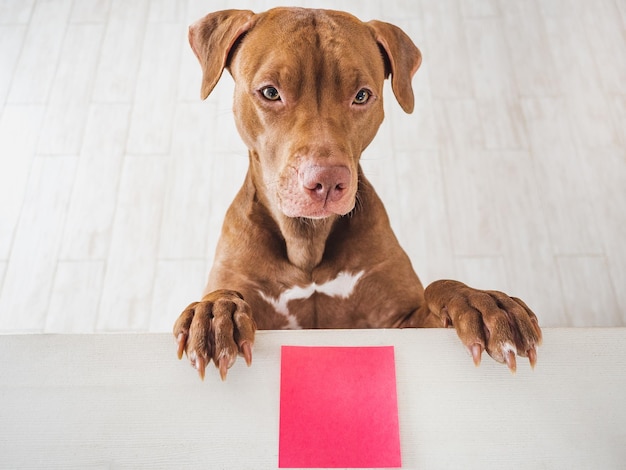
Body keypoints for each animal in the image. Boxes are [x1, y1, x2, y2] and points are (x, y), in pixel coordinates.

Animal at [173, 7, 540, 380]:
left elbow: (440, 287)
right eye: (270, 92)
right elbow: (224, 292)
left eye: (362, 96)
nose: (327, 180)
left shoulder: (403, 321)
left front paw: (481, 302)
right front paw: (215, 311)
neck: (307, 240)